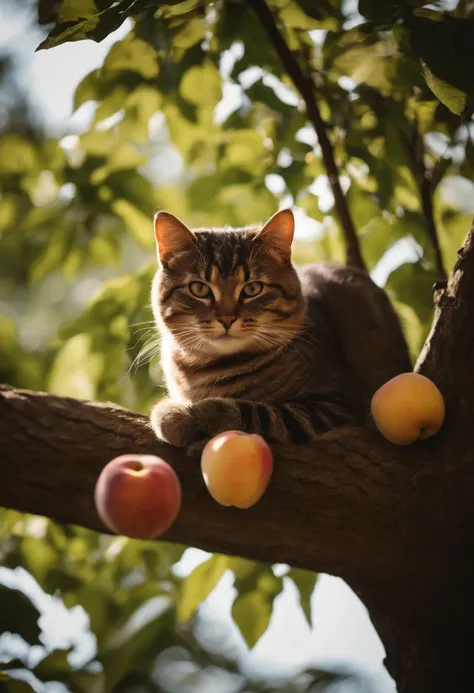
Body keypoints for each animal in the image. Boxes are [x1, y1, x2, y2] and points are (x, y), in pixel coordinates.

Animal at [149, 207, 412, 448]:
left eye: (252, 288)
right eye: (199, 288)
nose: (227, 318)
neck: (210, 369)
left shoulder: (334, 404)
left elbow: (248, 411)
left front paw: (180, 416)